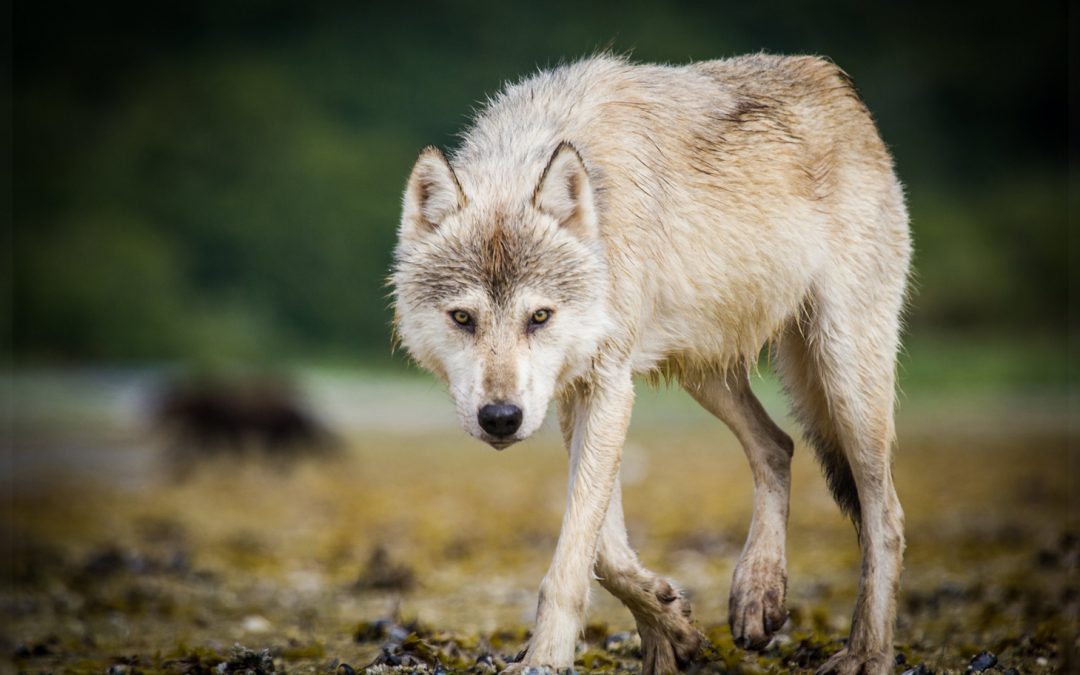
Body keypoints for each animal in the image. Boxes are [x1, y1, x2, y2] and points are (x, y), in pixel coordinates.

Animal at [391, 54, 911, 675]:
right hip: (706, 373)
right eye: (463, 318)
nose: (500, 418)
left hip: (844, 374)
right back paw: (757, 592)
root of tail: (836, 82)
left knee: (885, 515)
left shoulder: (608, 386)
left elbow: (576, 558)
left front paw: (547, 658)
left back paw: (867, 652)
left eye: (538, 317)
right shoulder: (578, 395)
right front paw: (671, 628)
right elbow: (607, 553)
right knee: (777, 446)